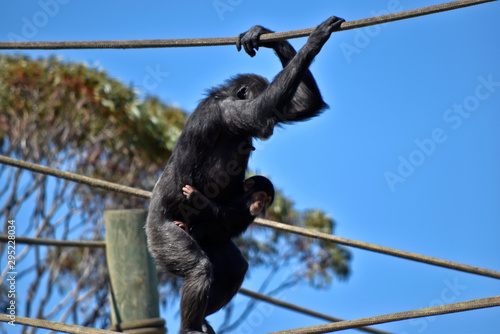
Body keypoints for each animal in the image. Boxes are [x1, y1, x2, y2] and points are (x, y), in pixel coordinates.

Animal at [146, 14, 346, 332]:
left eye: (278, 118)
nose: (272, 125)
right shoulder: (230, 111)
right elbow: (258, 109)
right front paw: (316, 38)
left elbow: (303, 104)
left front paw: (261, 33)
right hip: (163, 235)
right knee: (198, 267)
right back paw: (191, 326)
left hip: (209, 237)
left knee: (234, 268)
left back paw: (203, 319)